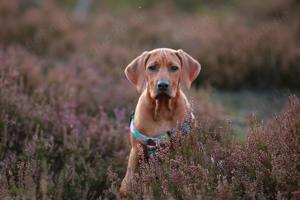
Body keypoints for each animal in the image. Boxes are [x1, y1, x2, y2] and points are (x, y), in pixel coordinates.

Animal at [118, 47, 200, 198]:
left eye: (174, 68)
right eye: (152, 67)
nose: (162, 85)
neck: (162, 109)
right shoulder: (137, 149)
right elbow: (129, 181)